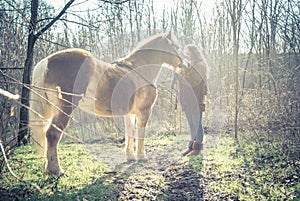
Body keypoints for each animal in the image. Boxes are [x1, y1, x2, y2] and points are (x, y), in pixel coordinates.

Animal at [29, 30, 185, 175]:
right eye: (176, 46)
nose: (184, 64)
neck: (139, 69)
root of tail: (46, 62)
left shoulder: (129, 113)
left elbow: (130, 132)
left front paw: (130, 156)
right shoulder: (144, 112)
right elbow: (140, 132)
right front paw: (141, 156)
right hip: (64, 109)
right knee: (52, 134)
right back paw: (56, 169)